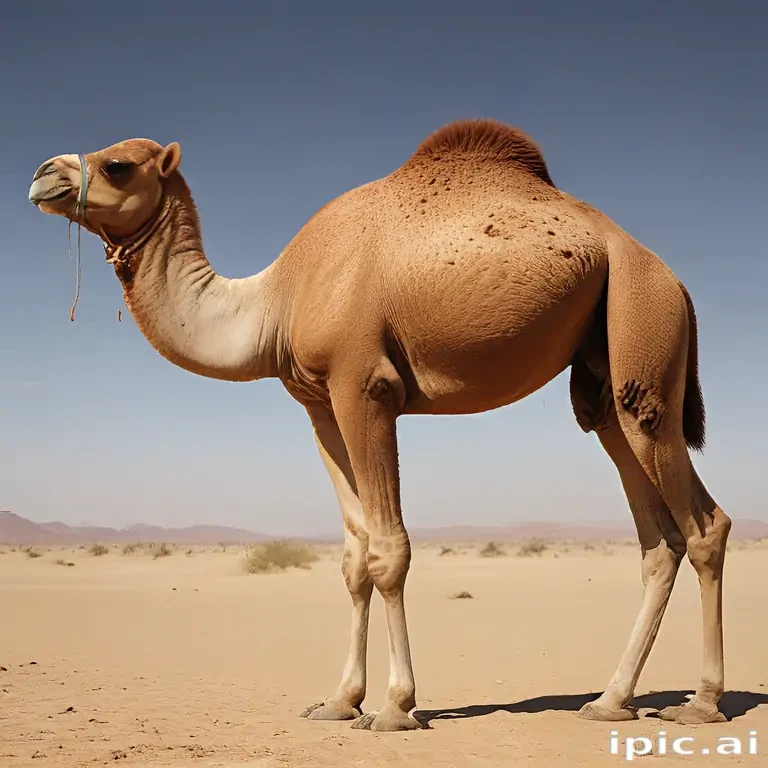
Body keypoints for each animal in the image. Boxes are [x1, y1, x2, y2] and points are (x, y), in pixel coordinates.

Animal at [28, 119, 731, 731]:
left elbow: (389, 551)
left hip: (643, 324)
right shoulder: (316, 401)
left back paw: (700, 702)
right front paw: (338, 702)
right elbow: (353, 555)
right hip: (604, 378)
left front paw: (395, 707)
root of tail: (671, 278)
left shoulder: (363, 386)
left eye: (118, 164)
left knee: (704, 525)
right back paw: (611, 701)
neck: (276, 300)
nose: (41, 175)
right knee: (655, 536)